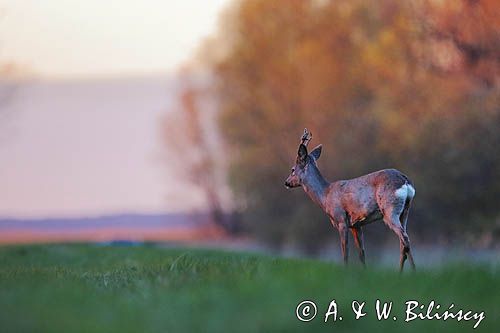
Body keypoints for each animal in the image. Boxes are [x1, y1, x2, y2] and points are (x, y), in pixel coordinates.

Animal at [284, 128, 416, 272]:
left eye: (292, 169)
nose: (286, 182)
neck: (325, 196)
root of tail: (405, 180)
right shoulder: (356, 225)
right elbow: (361, 253)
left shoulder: (341, 220)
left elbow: (345, 252)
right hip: (405, 212)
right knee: (403, 242)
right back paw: (406, 272)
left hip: (390, 209)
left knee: (405, 239)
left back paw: (408, 272)